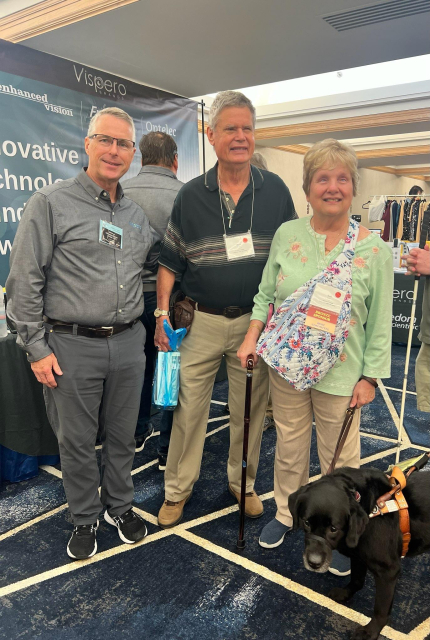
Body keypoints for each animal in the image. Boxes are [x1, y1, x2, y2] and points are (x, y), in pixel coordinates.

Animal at [288, 464, 430, 640]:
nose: (314, 563)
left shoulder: (388, 571)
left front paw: (371, 631)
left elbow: (381, 609)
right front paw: (345, 593)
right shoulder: (358, 557)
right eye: (306, 522)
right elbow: (356, 579)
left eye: (333, 528)